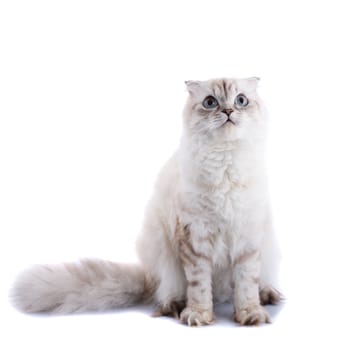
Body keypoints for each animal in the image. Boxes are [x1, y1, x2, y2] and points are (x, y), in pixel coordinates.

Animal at [10, 78, 282, 326]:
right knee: (168, 291)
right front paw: (198, 315)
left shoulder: (248, 239)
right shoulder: (194, 238)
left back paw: (268, 295)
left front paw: (250, 314)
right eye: (210, 102)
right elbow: (200, 288)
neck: (226, 165)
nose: (227, 111)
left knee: (248, 285)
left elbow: (246, 285)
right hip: (161, 253)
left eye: (241, 100)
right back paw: (174, 306)